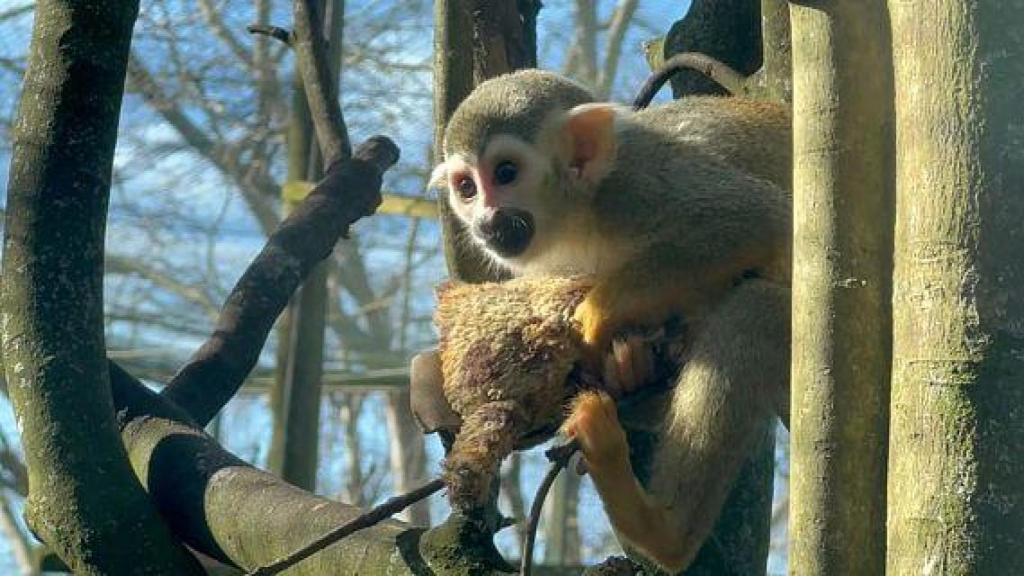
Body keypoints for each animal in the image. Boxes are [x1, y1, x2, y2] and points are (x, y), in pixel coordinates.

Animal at [431, 69, 791, 573]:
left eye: (505, 173)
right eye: (467, 186)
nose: (485, 220)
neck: (579, 213)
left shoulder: (638, 184)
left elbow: (755, 218)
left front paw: (593, 317)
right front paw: (626, 364)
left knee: (752, 309)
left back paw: (661, 529)